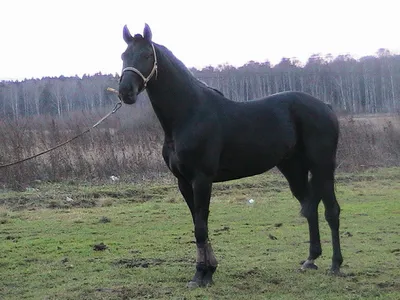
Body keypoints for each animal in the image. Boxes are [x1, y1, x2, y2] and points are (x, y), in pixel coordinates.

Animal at [119, 24, 344, 288]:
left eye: (146, 55)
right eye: (123, 56)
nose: (125, 92)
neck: (189, 114)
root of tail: (325, 106)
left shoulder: (202, 179)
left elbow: (201, 227)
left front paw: (202, 274)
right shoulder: (184, 182)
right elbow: (198, 223)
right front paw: (207, 271)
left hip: (322, 166)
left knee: (332, 210)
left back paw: (336, 265)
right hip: (293, 168)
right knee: (310, 207)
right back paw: (310, 259)